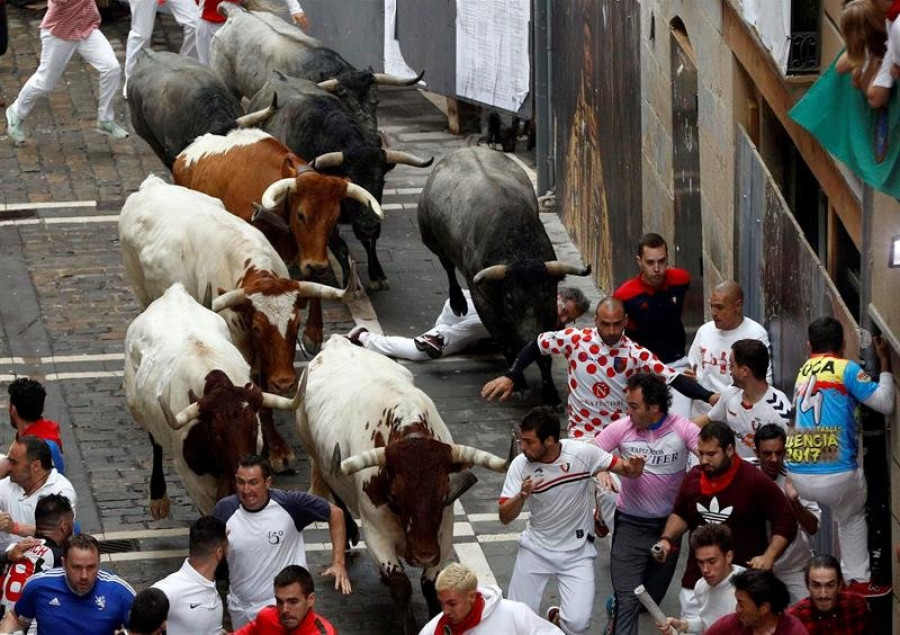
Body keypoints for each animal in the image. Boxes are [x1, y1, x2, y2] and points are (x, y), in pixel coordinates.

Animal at [122, 176, 352, 470]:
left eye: (295, 324)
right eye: (257, 328)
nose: (285, 384)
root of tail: (152, 185)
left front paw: (277, 446)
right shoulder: (240, 344)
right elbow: (256, 385)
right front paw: (275, 448)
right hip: (141, 293)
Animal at [123, 284, 306, 516]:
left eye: (254, 427)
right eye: (216, 432)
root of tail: (175, 291)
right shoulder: (194, 481)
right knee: (155, 442)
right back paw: (158, 499)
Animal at [172, 129, 380, 356]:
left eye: (334, 219)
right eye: (301, 215)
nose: (318, 266)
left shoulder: (308, 251)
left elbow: (313, 282)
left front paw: (313, 334)